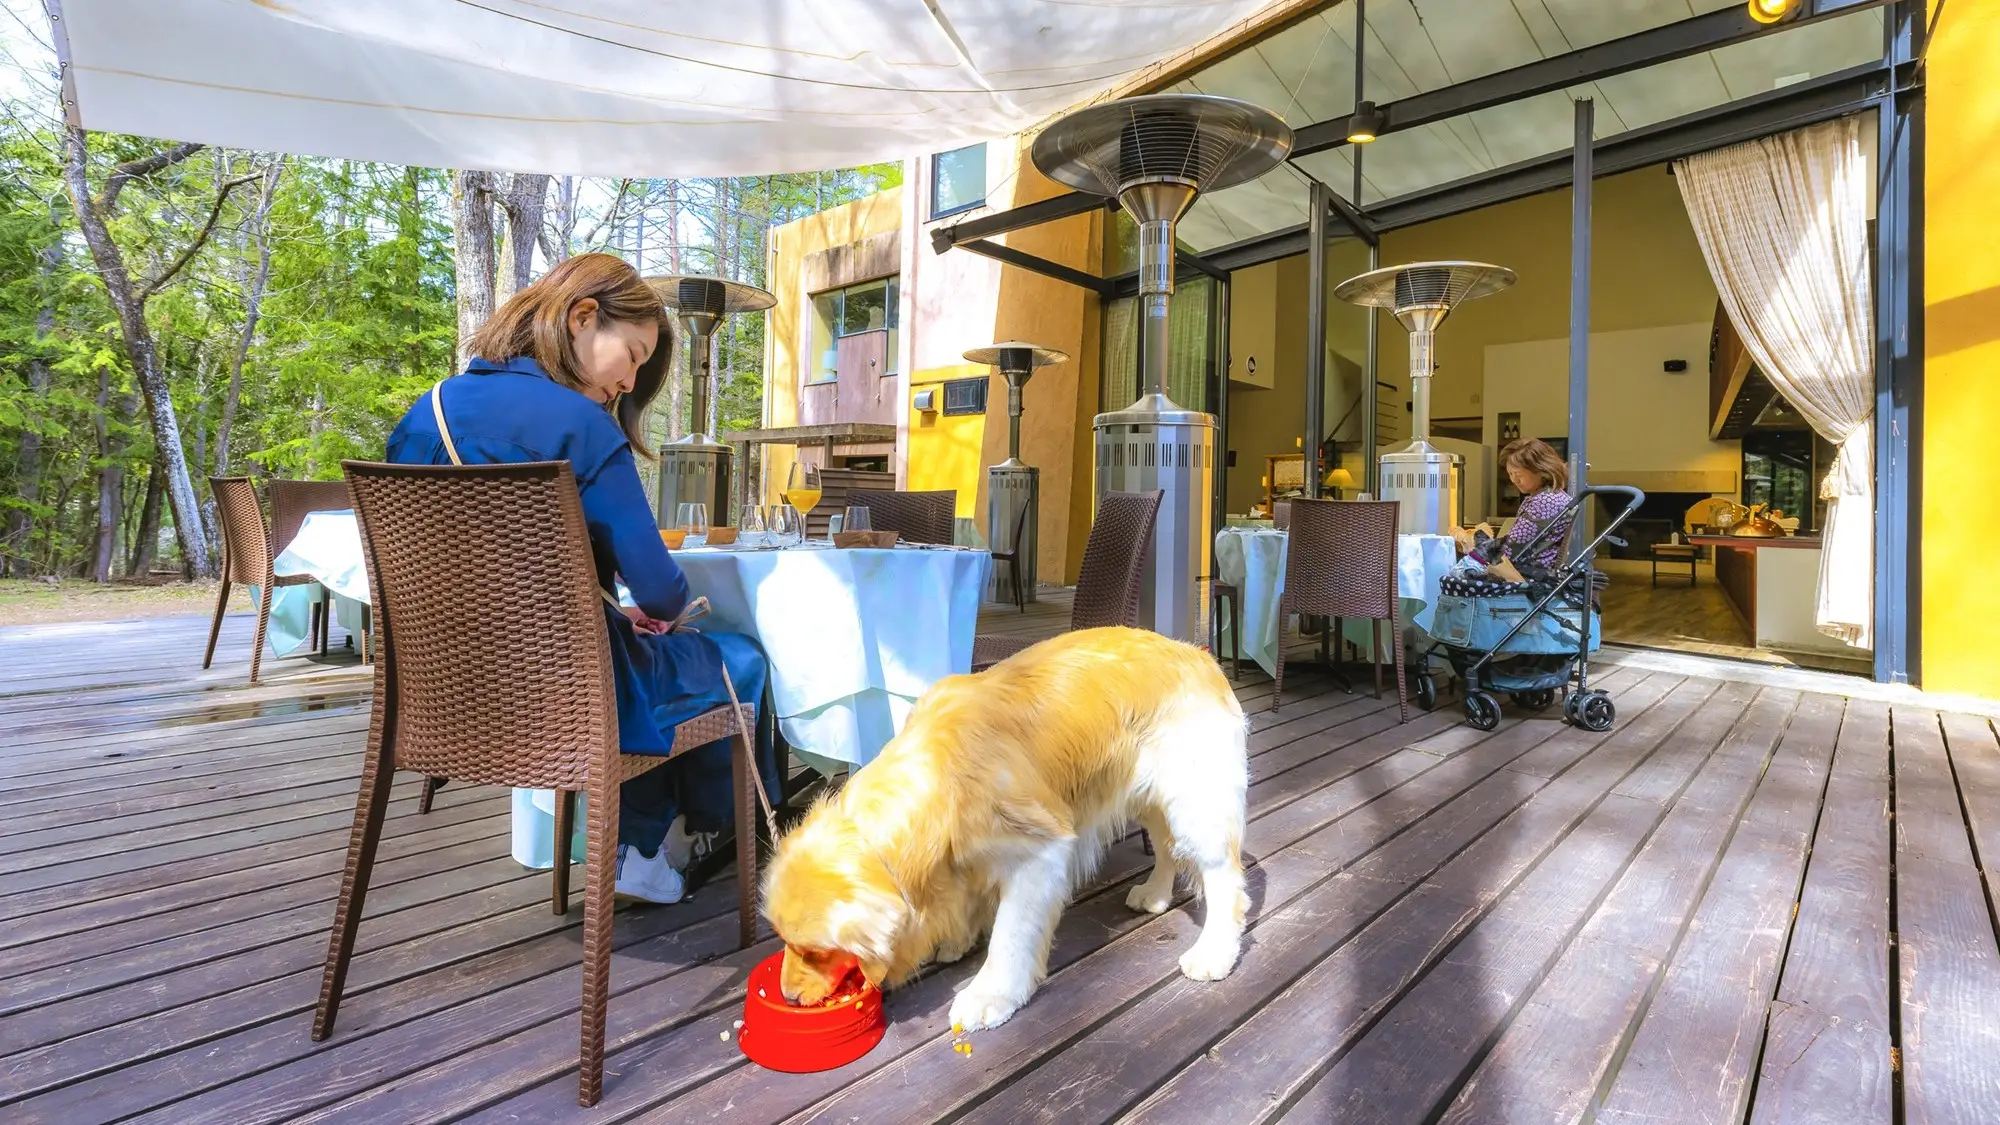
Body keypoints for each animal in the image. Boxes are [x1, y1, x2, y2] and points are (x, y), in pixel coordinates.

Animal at [756, 624, 1240, 1032]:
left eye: (817, 952)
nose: (789, 997)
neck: (936, 773)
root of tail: (1196, 653)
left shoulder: (1041, 852)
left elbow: (1010, 935)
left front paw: (990, 995)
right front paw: (957, 939)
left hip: (1195, 804)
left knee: (1225, 878)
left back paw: (1215, 952)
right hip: (1151, 799)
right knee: (1166, 847)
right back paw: (1155, 895)